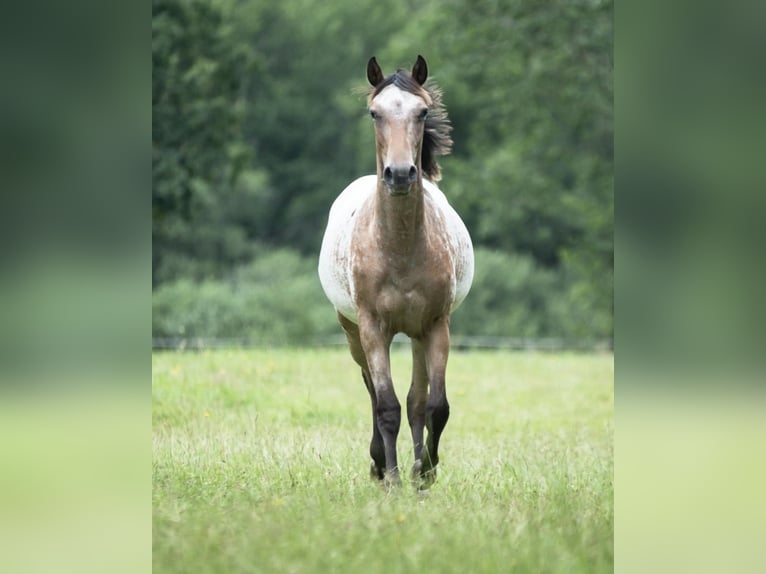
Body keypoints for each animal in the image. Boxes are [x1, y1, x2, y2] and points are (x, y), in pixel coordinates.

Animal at [318, 55, 474, 490]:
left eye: (422, 112)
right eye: (375, 113)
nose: (401, 174)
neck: (400, 248)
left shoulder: (436, 325)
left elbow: (435, 406)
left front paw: (425, 475)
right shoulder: (373, 327)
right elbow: (386, 405)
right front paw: (391, 479)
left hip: (418, 335)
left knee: (417, 401)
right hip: (353, 331)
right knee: (373, 393)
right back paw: (378, 464)